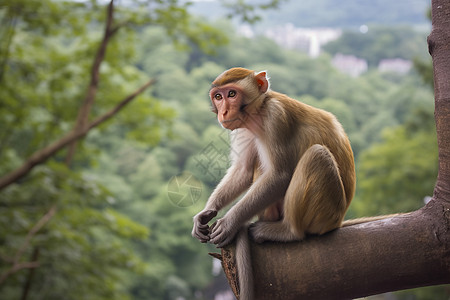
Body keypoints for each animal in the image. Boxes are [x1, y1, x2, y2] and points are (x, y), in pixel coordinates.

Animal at [192, 68, 382, 300]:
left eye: (232, 94)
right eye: (218, 97)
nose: (224, 112)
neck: (258, 113)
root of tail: (338, 221)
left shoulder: (277, 118)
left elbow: (280, 176)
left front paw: (230, 222)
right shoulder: (244, 129)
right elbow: (243, 170)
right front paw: (205, 213)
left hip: (326, 213)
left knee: (317, 155)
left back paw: (288, 231)